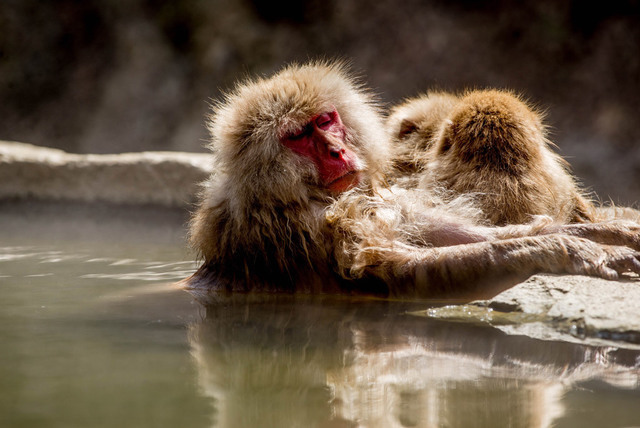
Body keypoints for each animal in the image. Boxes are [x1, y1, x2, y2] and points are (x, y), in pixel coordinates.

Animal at [184, 61, 640, 300]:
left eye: (325, 121)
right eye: (297, 136)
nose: (336, 151)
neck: (298, 195)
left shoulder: (378, 197)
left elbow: (465, 236)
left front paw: (610, 231)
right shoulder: (308, 228)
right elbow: (401, 272)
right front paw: (563, 250)